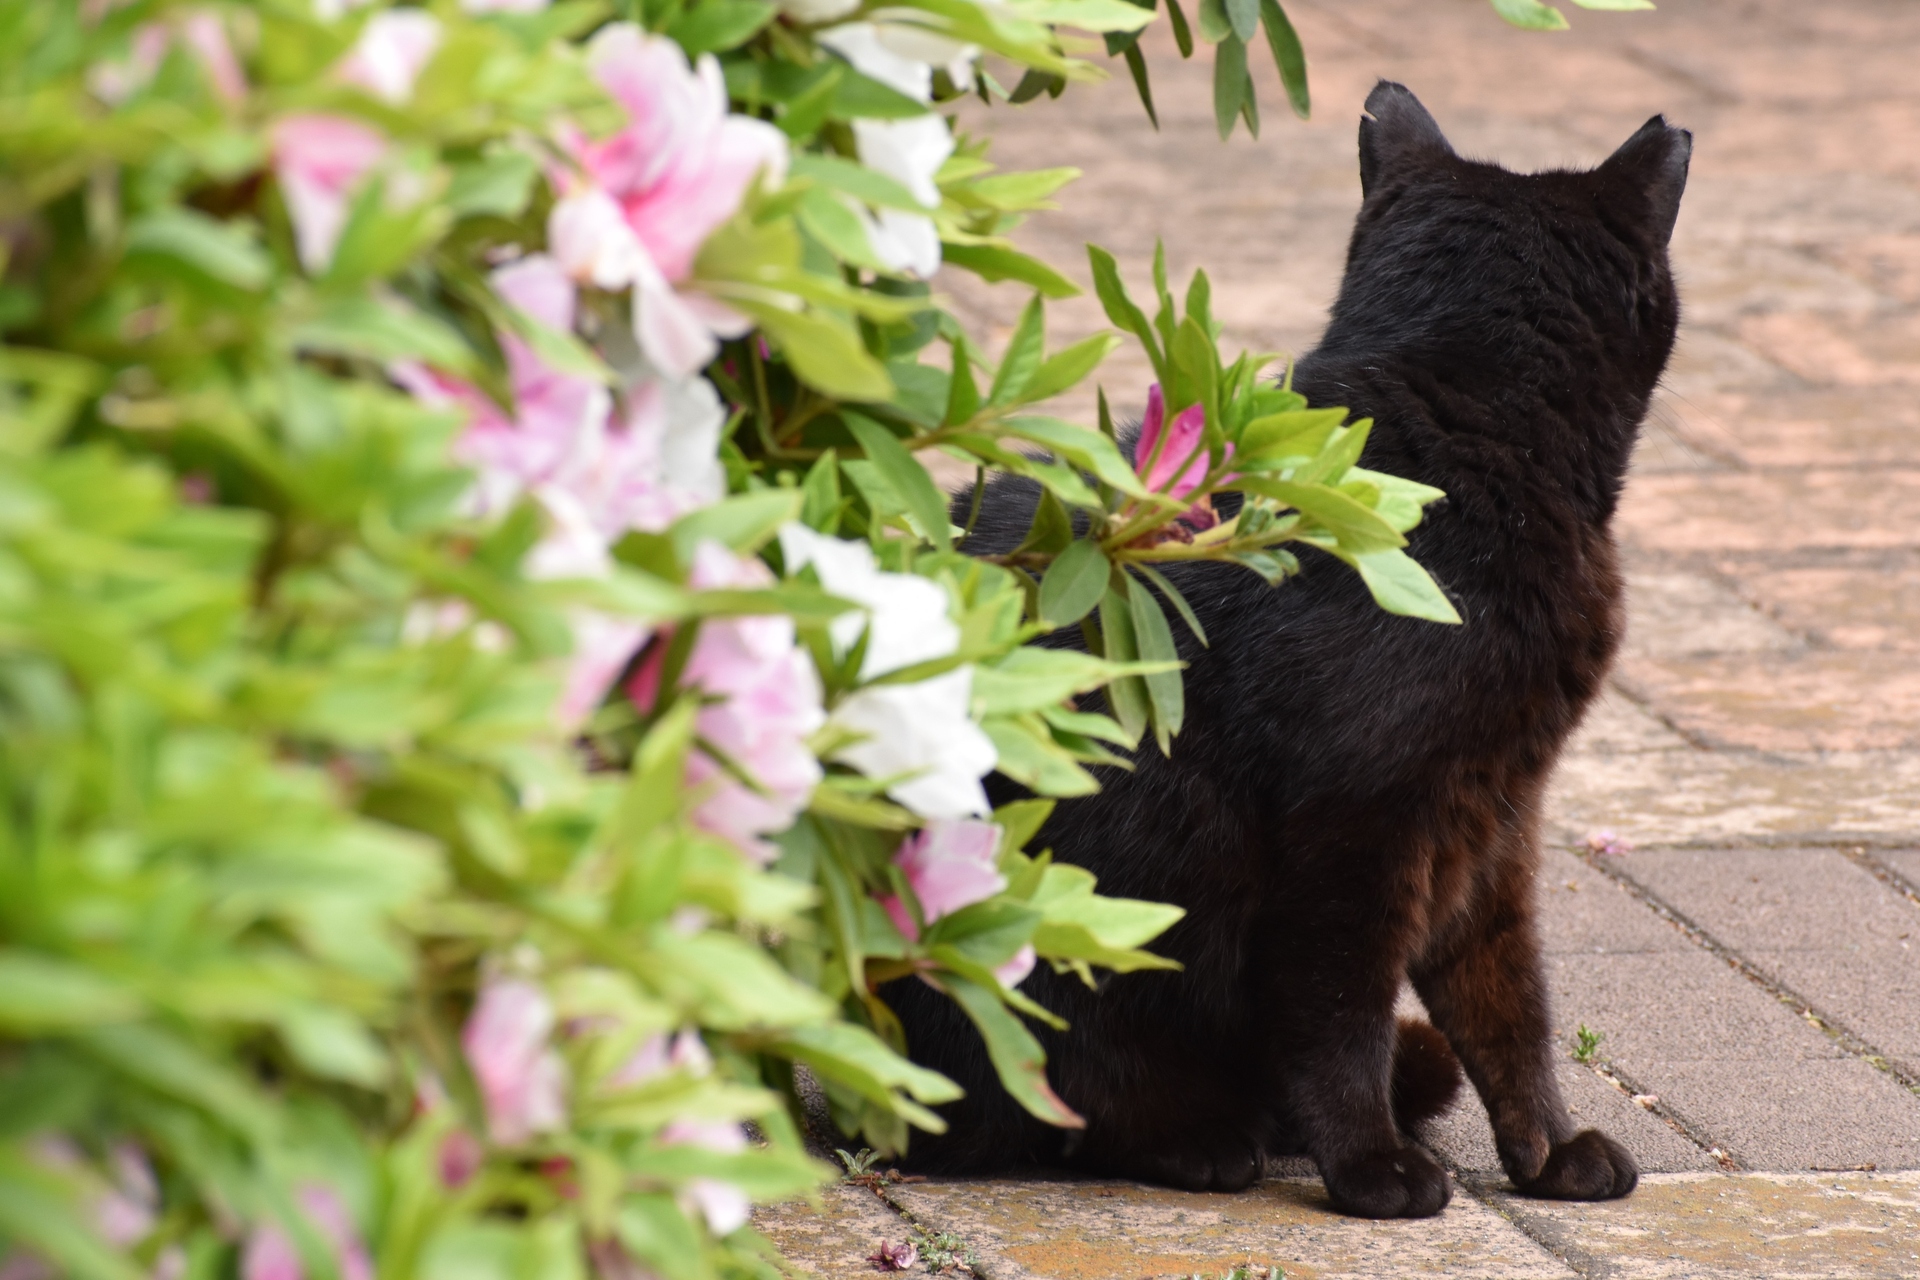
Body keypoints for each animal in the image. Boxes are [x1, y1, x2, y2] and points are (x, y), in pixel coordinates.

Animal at [887, 82, 1697, 1220]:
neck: (1451, 466)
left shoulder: (1495, 815)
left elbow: (1509, 1003)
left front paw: (1546, 1151)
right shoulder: (1353, 829)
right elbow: (1340, 1012)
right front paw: (1372, 1166)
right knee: (1029, 1102)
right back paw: (1201, 1139)